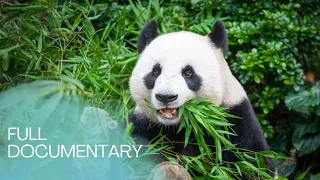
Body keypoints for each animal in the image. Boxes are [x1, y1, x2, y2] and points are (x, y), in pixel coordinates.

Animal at [129, 20, 274, 179]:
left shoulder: (235, 120)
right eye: (156, 71)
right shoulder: (143, 124)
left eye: (188, 73)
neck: (181, 125)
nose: (166, 96)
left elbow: (251, 164)